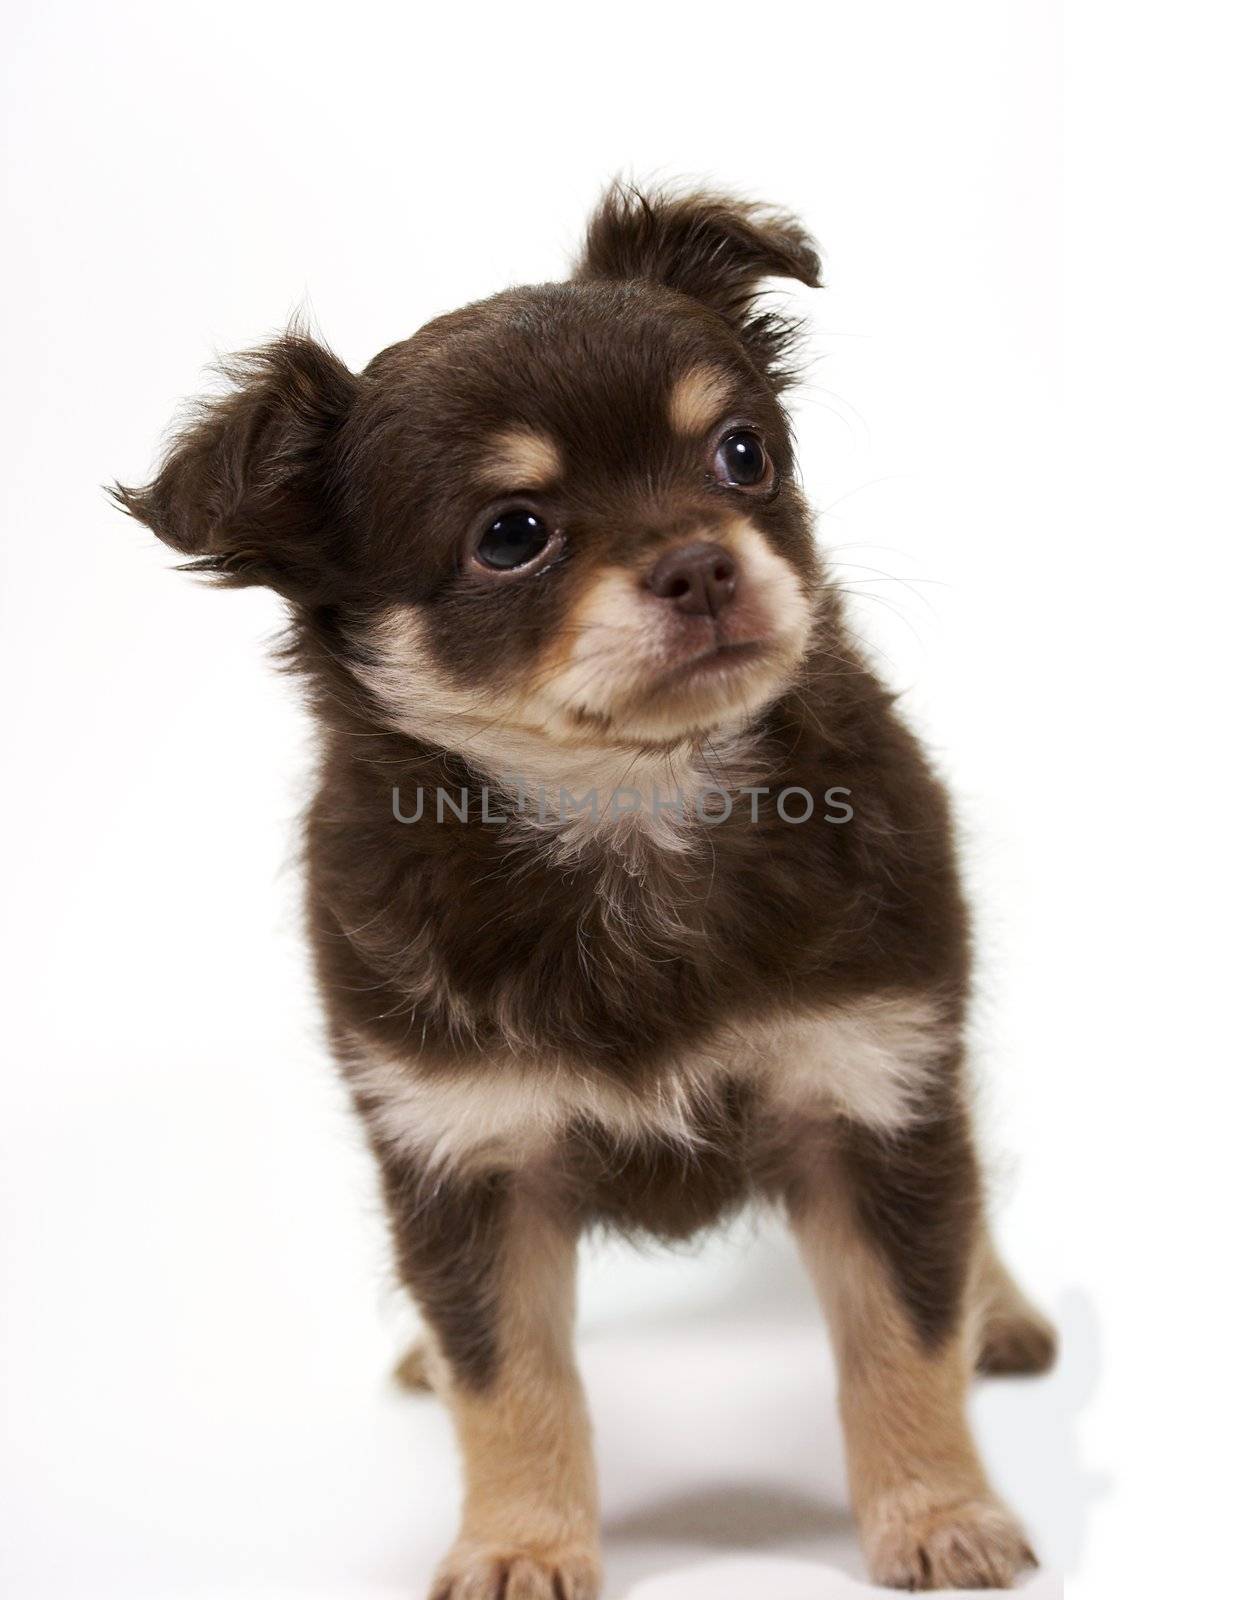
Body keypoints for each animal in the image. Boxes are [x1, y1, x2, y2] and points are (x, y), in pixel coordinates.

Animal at [120, 184, 1056, 1587]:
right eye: (511, 536)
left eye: (742, 456)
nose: (703, 563)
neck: (628, 817)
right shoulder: (463, 1153)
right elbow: (506, 1378)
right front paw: (520, 1542)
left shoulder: (873, 1087)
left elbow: (903, 1327)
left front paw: (936, 1510)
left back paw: (1003, 1309)